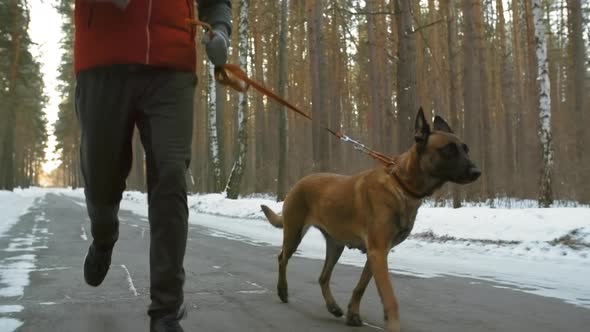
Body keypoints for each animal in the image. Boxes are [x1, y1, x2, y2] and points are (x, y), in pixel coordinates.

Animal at [262, 107, 484, 330]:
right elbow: (390, 298)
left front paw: (353, 314)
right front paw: (393, 325)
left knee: (323, 277)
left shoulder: (377, 254)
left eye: (465, 149)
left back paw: (333, 306)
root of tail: (300, 182)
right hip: (294, 233)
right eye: (448, 150)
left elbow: (360, 287)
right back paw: (282, 290)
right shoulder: (378, 253)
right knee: (282, 258)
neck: (401, 185)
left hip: (335, 245)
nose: (477, 172)